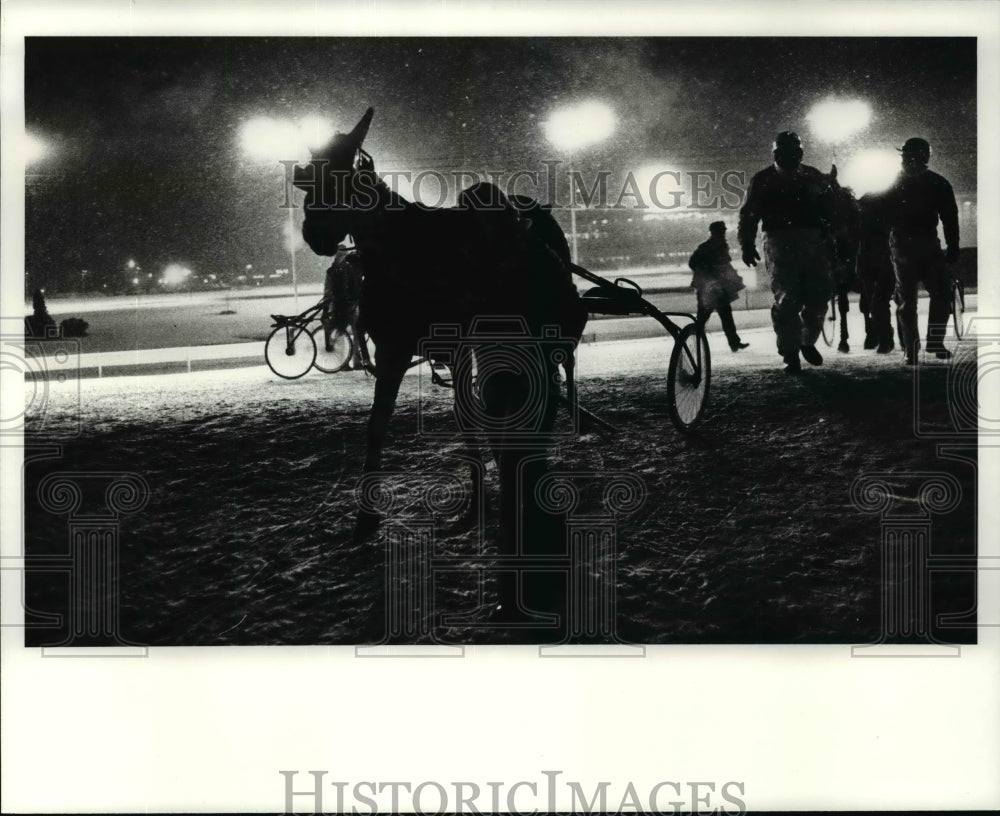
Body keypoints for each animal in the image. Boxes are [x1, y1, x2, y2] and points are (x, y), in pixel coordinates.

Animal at [292, 108, 588, 584]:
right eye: (310, 174)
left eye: (343, 175)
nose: (313, 233)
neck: (405, 255)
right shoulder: (394, 349)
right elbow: (380, 426)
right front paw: (365, 520)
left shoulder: (455, 344)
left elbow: (469, 413)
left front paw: (479, 499)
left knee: (559, 370)